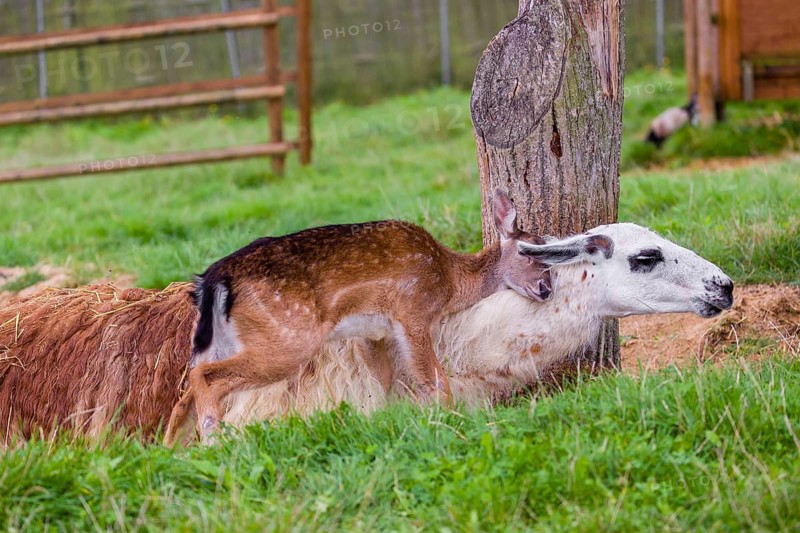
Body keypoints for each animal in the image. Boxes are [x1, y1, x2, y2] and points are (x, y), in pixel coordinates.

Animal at [164, 190, 552, 444]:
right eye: (530, 253)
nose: (547, 289)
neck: (450, 279)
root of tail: (213, 278)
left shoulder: (373, 333)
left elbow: (383, 381)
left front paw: (382, 418)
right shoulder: (412, 312)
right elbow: (435, 381)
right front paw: (451, 421)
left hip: (222, 340)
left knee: (184, 393)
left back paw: (175, 450)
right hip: (288, 337)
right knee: (205, 377)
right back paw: (214, 439)